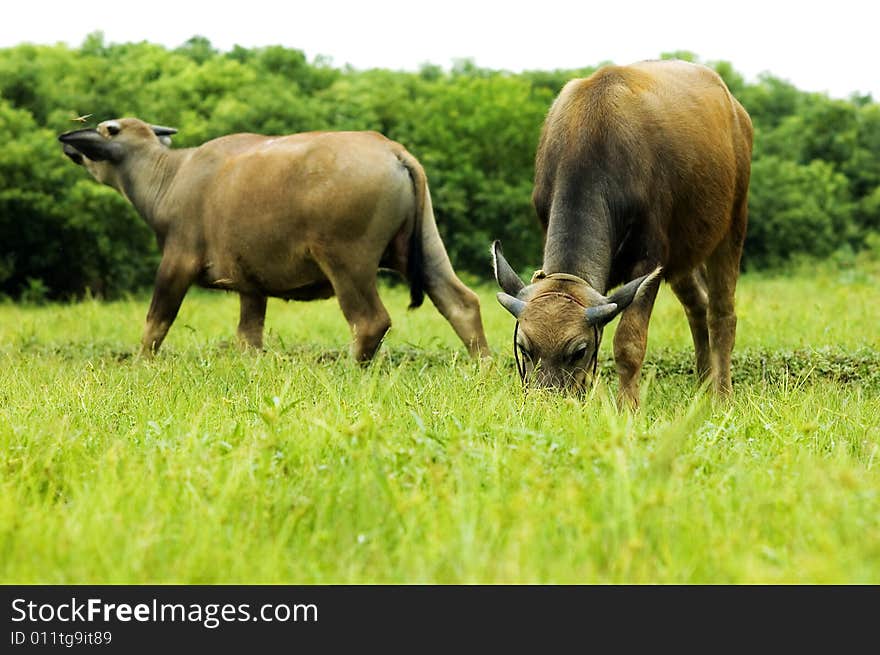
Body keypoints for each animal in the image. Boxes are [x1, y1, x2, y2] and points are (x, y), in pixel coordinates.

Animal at [58, 120, 492, 362]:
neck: (171, 176)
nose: (69, 144)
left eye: (107, 130)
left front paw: (140, 363)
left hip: (346, 262)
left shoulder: (176, 261)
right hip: (429, 247)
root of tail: (393, 150)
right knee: (462, 303)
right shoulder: (251, 286)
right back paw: (484, 366)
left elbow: (156, 323)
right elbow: (248, 337)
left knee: (370, 321)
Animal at [492, 62, 752, 410]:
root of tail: (736, 111)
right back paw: (702, 383)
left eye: (579, 351)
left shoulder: (650, 258)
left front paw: (628, 405)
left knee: (721, 312)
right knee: (697, 305)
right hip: (682, 253)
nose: (548, 403)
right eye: (523, 347)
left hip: (733, 224)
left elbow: (628, 342)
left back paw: (722, 395)